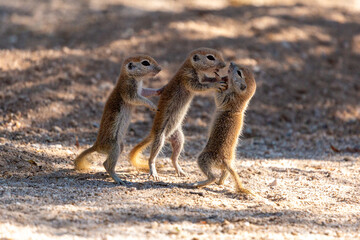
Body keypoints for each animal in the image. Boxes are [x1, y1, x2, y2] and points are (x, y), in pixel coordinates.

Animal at [128, 47, 226, 180]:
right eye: (210, 57)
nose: (224, 65)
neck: (190, 66)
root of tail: (154, 133)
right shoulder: (187, 77)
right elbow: (199, 86)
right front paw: (216, 84)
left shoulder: (201, 76)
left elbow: (206, 79)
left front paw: (218, 78)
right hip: (160, 137)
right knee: (152, 157)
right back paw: (153, 171)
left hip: (179, 137)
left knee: (173, 157)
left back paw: (180, 170)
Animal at [191, 62, 256, 195]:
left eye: (239, 73)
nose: (231, 63)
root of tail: (226, 162)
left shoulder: (228, 98)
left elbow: (219, 98)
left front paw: (218, 78)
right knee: (224, 174)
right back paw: (220, 182)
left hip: (204, 158)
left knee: (212, 177)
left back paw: (198, 184)